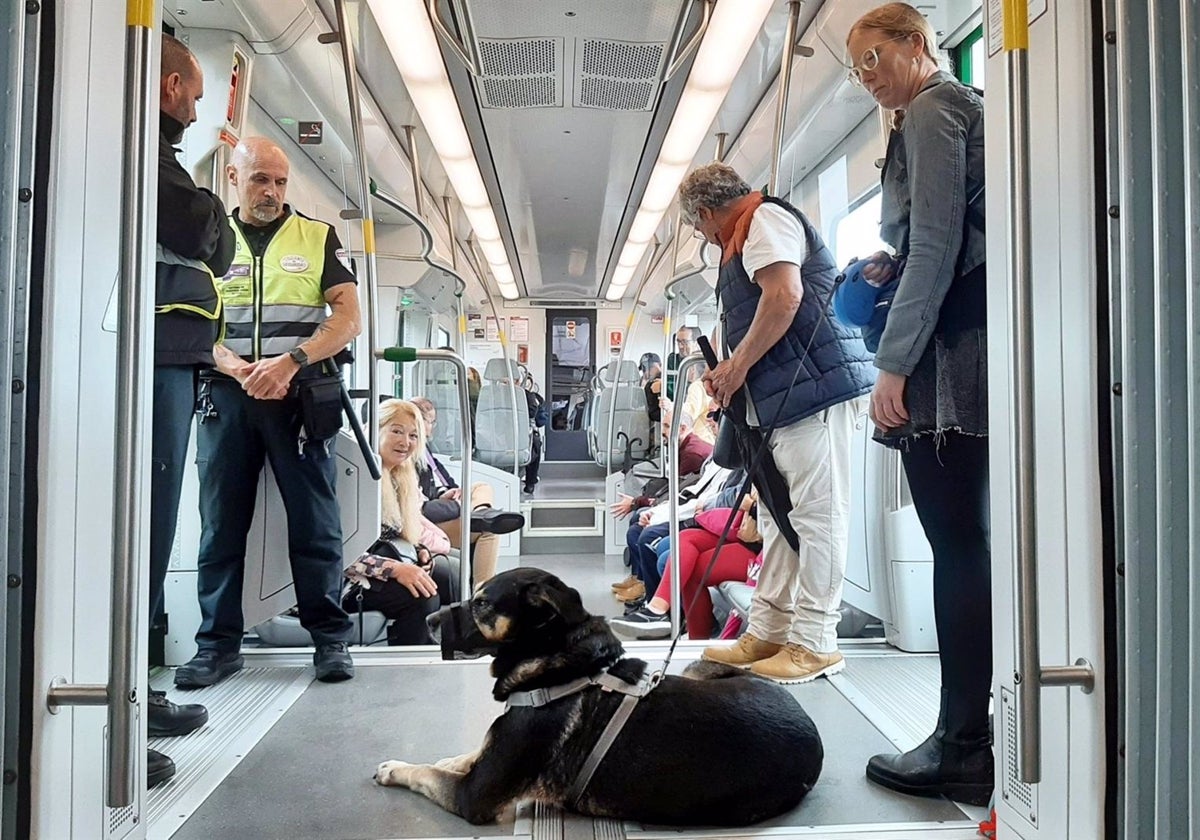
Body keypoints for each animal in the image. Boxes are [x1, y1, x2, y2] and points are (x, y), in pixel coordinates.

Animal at [374, 568, 825, 825]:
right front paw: (452, 758)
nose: (430, 619)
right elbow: (468, 753)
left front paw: (396, 767)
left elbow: (424, 774)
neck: (555, 664)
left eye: (482, 603)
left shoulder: (475, 797)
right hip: (695, 669)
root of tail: (811, 730)